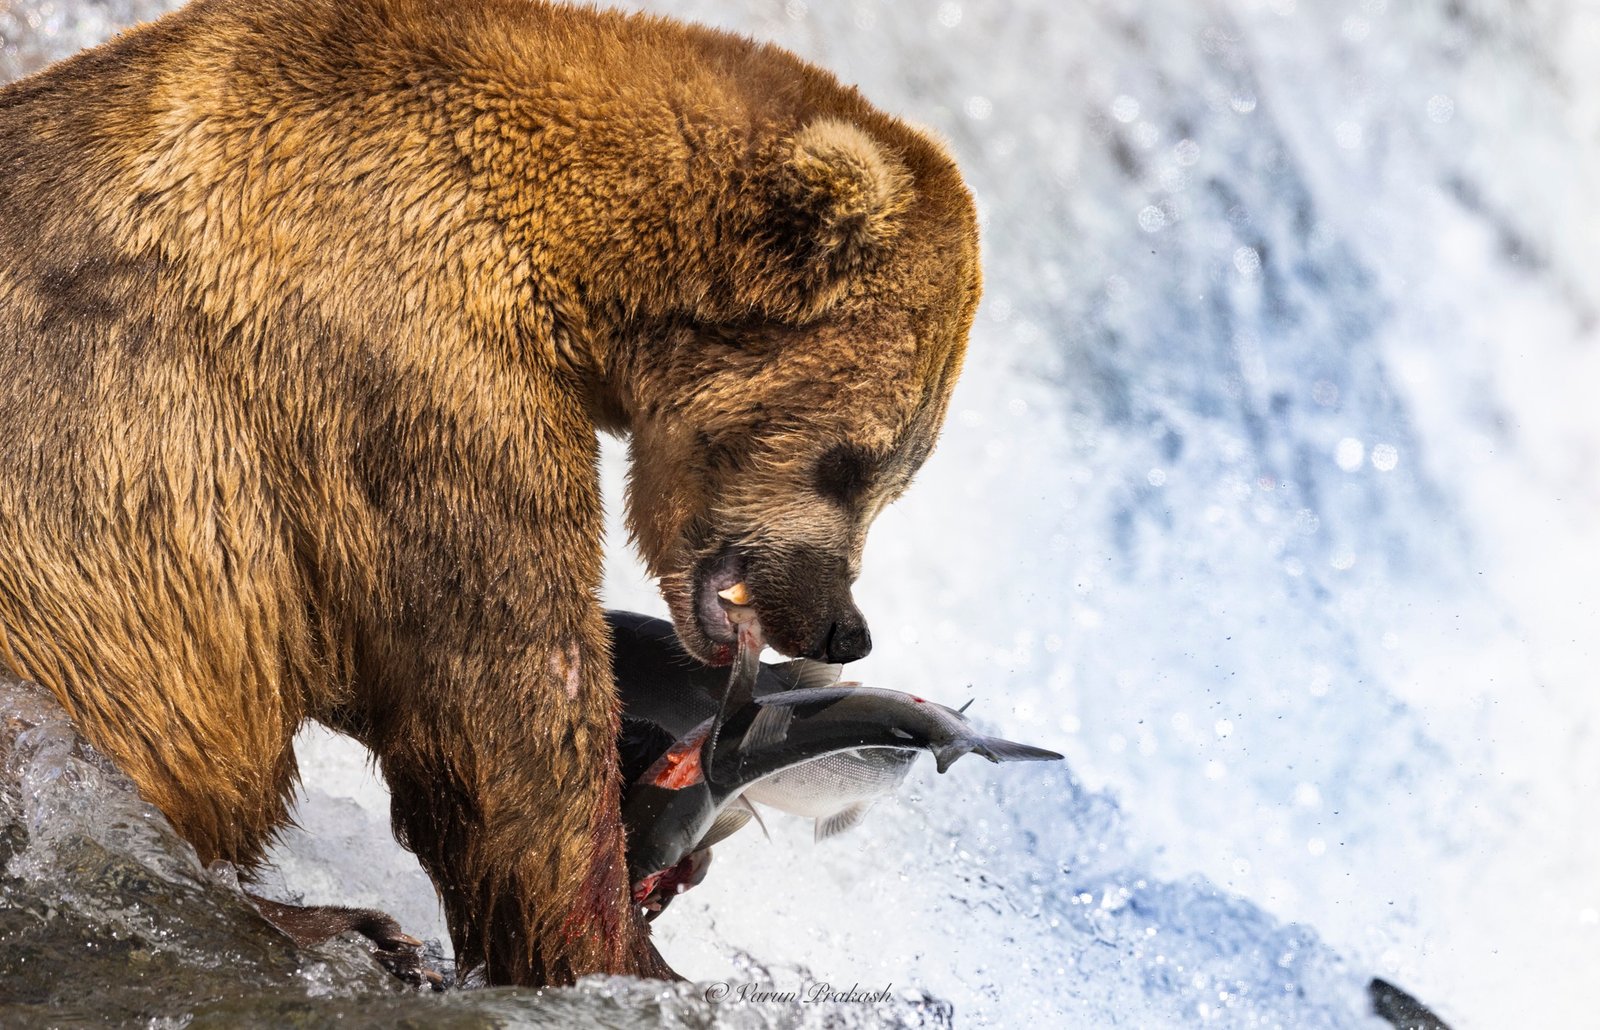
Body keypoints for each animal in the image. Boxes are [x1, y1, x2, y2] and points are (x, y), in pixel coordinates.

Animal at [0, 0, 980, 985]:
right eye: (855, 462)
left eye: (903, 475)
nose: (844, 629)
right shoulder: (419, 384)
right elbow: (510, 732)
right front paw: (626, 949)